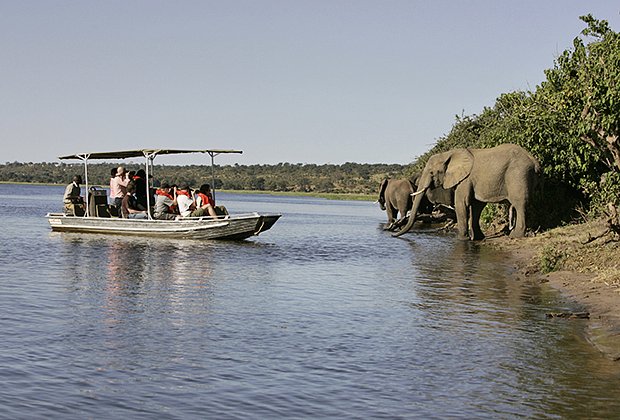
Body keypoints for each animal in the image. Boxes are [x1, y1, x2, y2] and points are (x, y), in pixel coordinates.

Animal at [394, 143, 540, 240]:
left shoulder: (464, 180)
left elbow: (461, 204)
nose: (393, 235)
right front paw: (478, 238)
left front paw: (462, 240)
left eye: (431, 172)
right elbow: (476, 206)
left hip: (518, 174)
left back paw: (515, 236)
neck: (448, 154)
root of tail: (534, 161)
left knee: (520, 204)